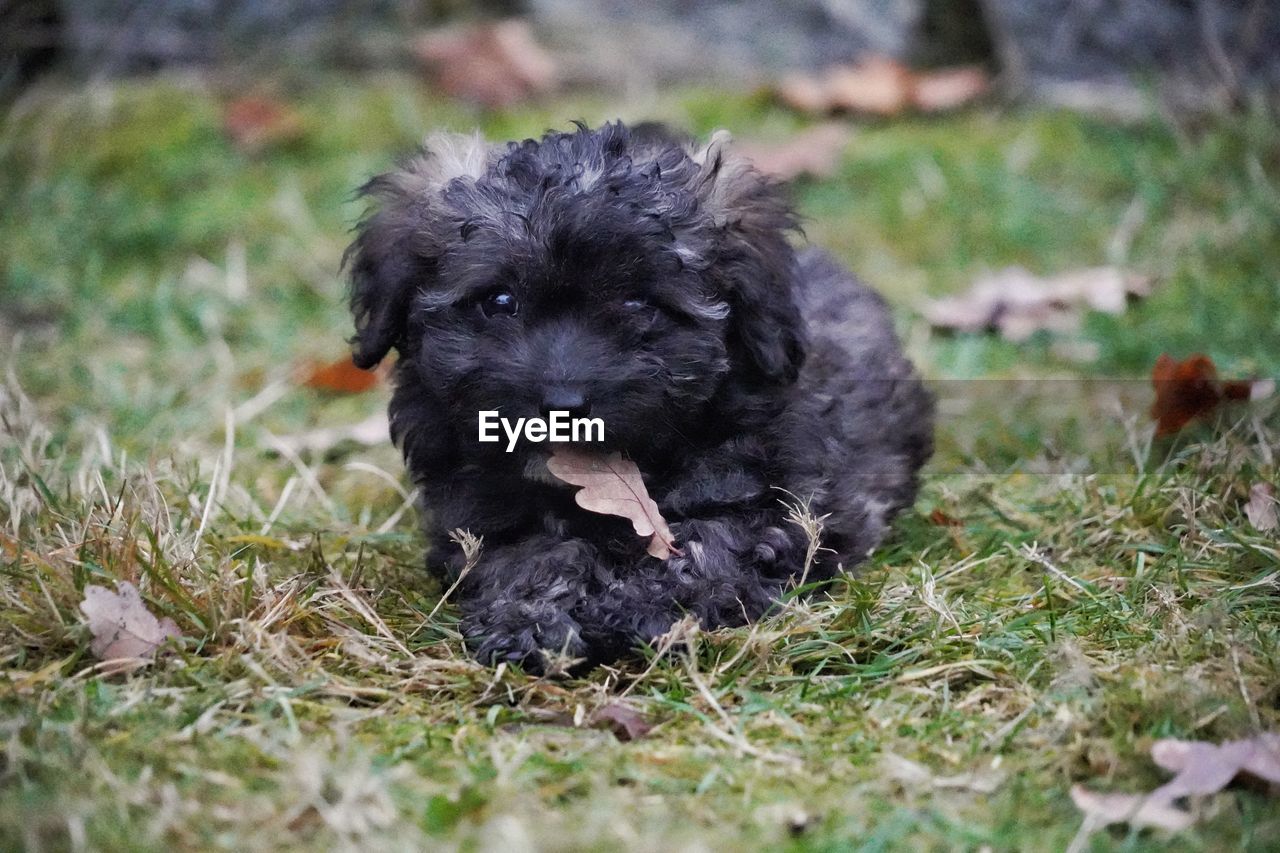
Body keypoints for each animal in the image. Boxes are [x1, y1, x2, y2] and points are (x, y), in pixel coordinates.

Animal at [348, 121, 931, 666]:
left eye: (638, 304)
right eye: (499, 300)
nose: (563, 406)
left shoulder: (773, 503)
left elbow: (706, 545)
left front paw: (637, 605)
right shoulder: (479, 513)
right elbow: (528, 554)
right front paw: (531, 617)